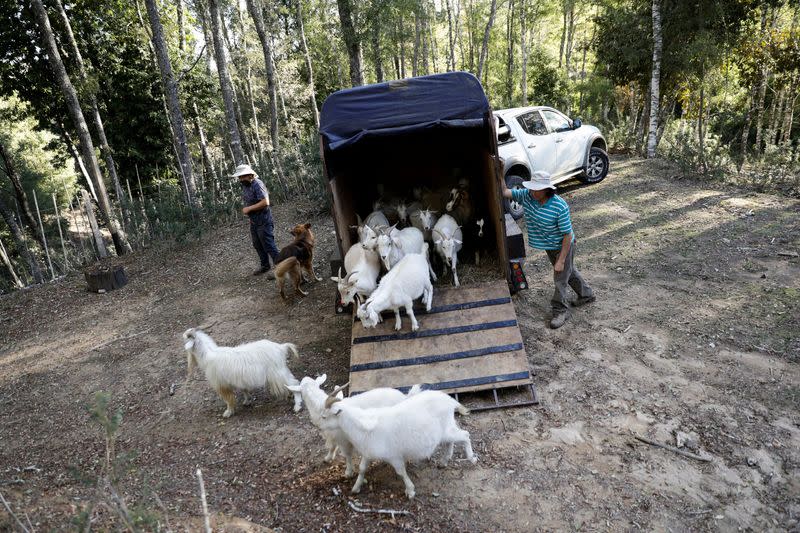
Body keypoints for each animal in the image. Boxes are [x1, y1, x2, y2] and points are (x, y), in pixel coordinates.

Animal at [324, 386, 476, 498]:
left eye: (325, 416)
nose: (321, 427)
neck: (365, 427)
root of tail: (449, 400)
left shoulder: (394, 456)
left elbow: (401, 472)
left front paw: (410, 491)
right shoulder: (368, 453)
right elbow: (362, 468)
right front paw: (355, 488)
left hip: (446, 430)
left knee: (465, 435)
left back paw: (472, 459)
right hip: (445, 431)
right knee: (450, 441)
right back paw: (443, 462)